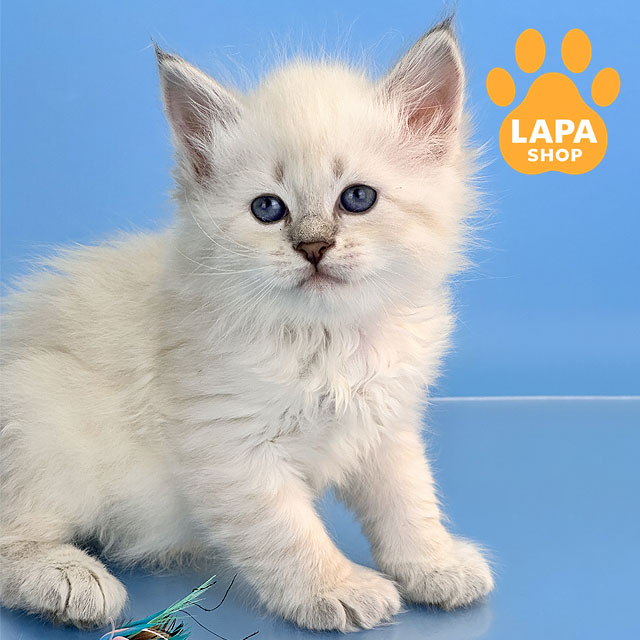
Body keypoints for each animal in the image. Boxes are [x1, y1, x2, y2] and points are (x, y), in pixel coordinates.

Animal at [0, 19, 493, 631]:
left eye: (357, 198)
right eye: (268, 209)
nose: (313, 247)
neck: (329, 342)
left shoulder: (386, 427)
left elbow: (409, 502)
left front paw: (435, 564)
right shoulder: (232, 450)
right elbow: (291, 534)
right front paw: (337, 589)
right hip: (42, 413)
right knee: (12, 538)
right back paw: (71, 581)